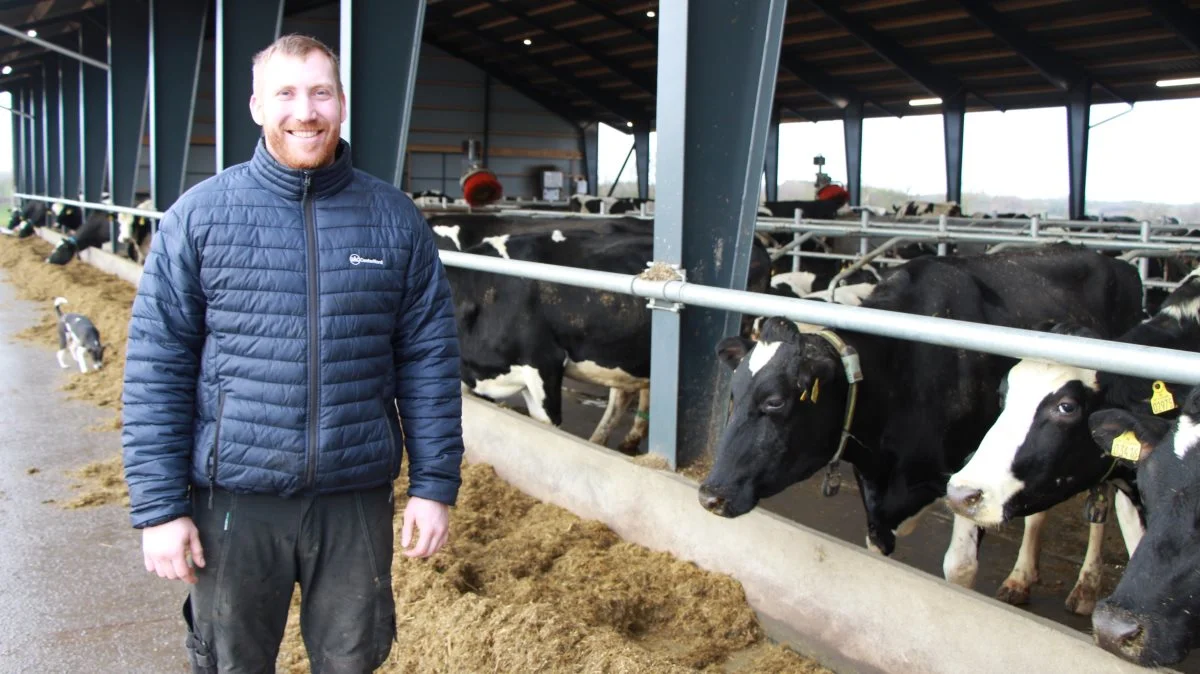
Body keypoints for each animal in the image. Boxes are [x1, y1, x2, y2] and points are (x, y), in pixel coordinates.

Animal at [700, 243, 1142, 558]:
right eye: (734, 395)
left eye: (775, 402)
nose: (709, 495)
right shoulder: (877, 488)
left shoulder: (973, 474)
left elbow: (959, 566)